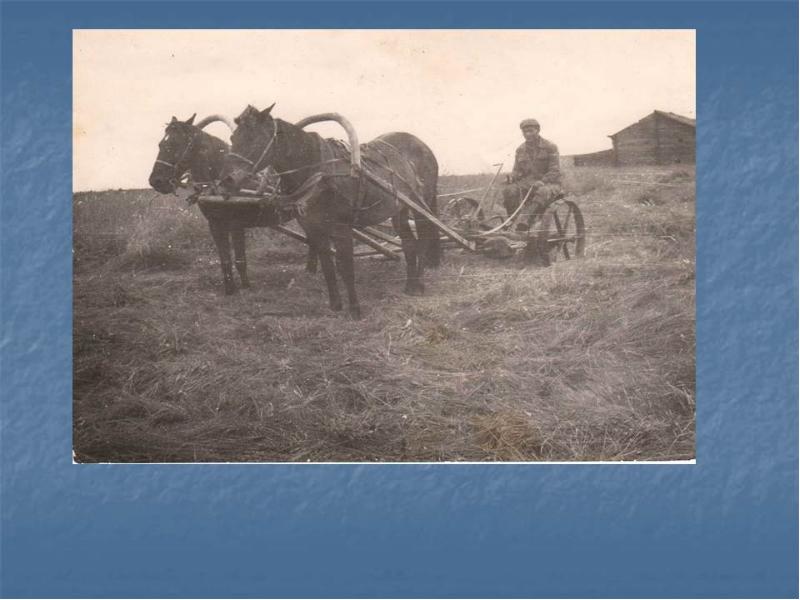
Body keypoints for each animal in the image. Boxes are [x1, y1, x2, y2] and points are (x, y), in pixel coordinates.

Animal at [219, 104, 444, 318]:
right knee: (409, 243)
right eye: (232, 137)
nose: (226, 180)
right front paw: (335, 305)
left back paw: (419, 284)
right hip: (399, 208)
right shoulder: (314, 228)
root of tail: (422, 145)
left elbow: (345, 267)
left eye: (255, 137)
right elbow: (327, 265)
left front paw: (354, 310)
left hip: (420, 205)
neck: (318, 172)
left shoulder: (342, 228)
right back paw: (410, 285)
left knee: (423, 239)